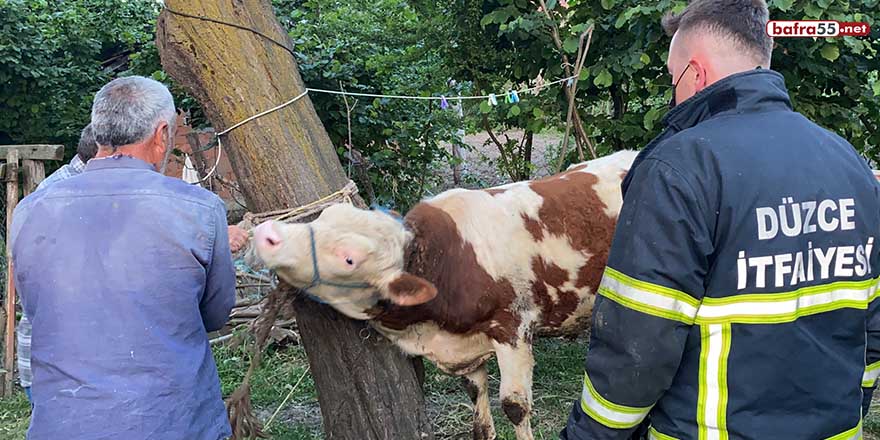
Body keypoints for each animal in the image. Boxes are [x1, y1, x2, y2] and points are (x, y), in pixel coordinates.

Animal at [251, 150, 636, 440]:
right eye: (328, 213)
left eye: (349, 257)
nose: (268, 233)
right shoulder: (465, 349)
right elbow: (479, 415)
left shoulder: (513, 327)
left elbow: (515, 406)